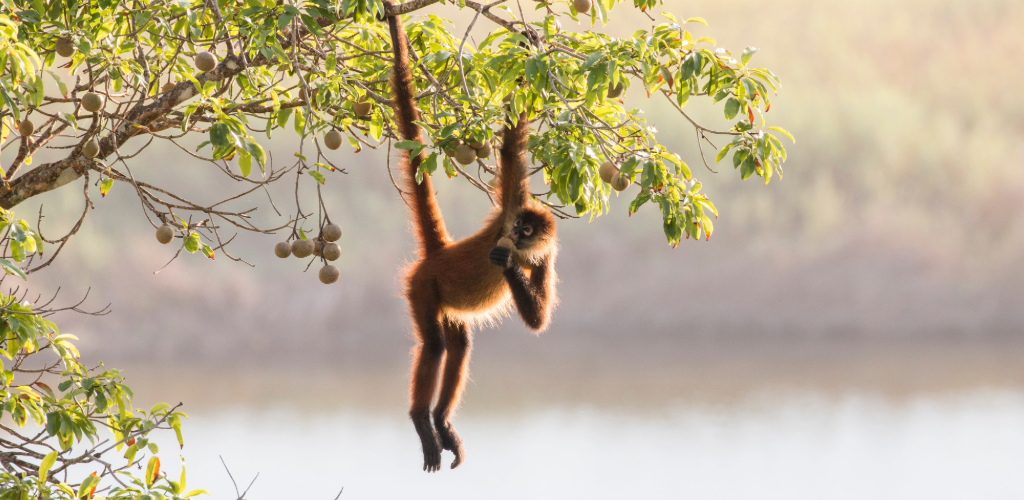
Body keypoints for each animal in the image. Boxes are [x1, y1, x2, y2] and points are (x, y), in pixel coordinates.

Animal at [384, 3, 559, 473]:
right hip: (423, 286)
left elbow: (538, 320)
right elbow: (513, 147)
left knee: (459, 345)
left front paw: (511, 266)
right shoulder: (512, 202)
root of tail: (438, 254)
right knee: (434, 344)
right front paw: (528, 47)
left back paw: (441, 421)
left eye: (527, 231)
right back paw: (421, 420)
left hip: (446, 301)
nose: (514, 235)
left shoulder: (546, 255)